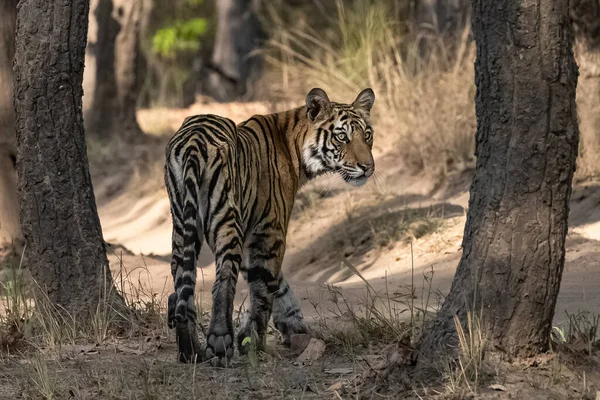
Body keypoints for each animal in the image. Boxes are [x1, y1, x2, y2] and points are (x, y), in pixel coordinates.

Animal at [164, 87, 376, 366]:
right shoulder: (270, 231)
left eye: (368, 135)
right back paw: (219, 343)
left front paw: (294, 328)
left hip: (181, 222)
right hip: (226, 220)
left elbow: (278, 284)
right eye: (342, 137)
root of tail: (193, 141)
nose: (368, 167)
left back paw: (190, 351)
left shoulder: (252, 235)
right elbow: (265, 287)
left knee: (182, 280)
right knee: (223, 280)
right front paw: (255, 343)